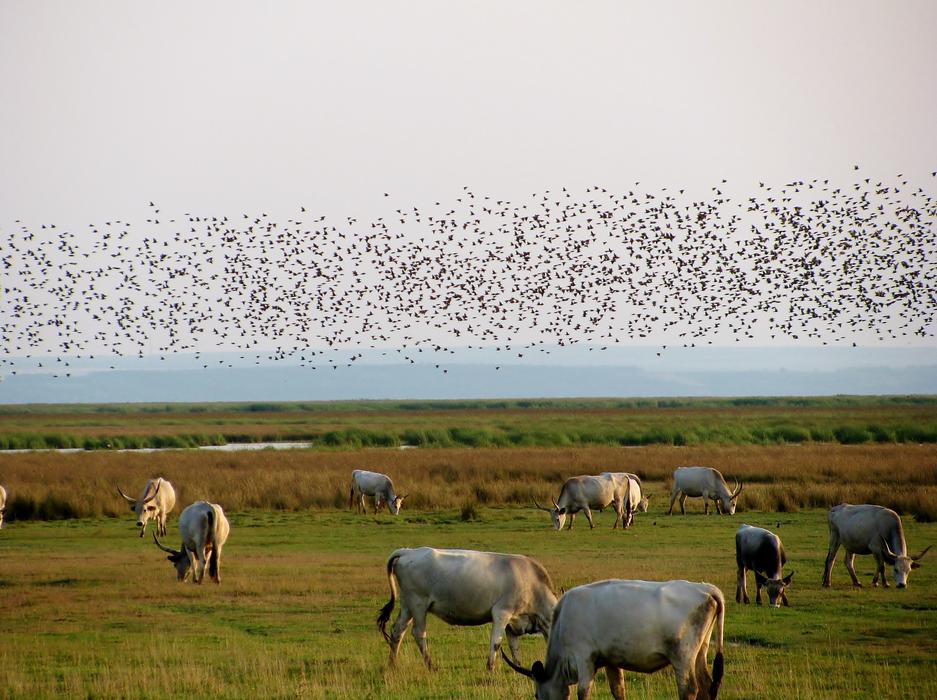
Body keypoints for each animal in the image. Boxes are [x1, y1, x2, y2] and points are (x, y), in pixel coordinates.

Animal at [376, 547, 557, 671]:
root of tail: (408, 551)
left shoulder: (514, 621)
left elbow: (514, 646)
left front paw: (517, 667)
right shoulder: (502, 613)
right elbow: (496, 642)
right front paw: (490, 668)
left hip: (407, 605)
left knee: (397, 631)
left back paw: (392, 665)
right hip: (418, 604)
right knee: (419, 633)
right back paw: (431, 665)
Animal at [503, 579, 725, 700]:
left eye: (536, 694)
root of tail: (706, 589)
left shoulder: (584, 658)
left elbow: (583, 692)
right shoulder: (611, 660)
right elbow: (618, 690)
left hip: (683, 656)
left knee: (689, 690)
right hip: (700, 652)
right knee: (707, 686)